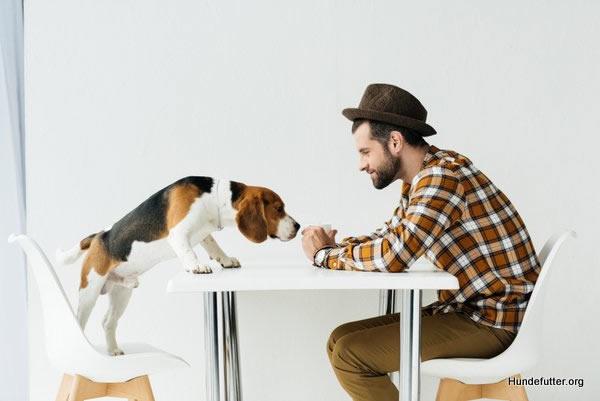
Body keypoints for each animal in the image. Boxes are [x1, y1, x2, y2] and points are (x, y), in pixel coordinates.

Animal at [56, 177, 300, 354]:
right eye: (279, 208)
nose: (298, 226)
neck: (213, 197)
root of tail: (98, 236)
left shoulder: (204, 233)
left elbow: (213, 245)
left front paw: (226, 260)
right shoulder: (178, 233)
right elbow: (188, 251)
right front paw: (197, 266)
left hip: (121, 294)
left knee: (108, 322)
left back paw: (113, 350)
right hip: (90, 291)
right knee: (81, 321)